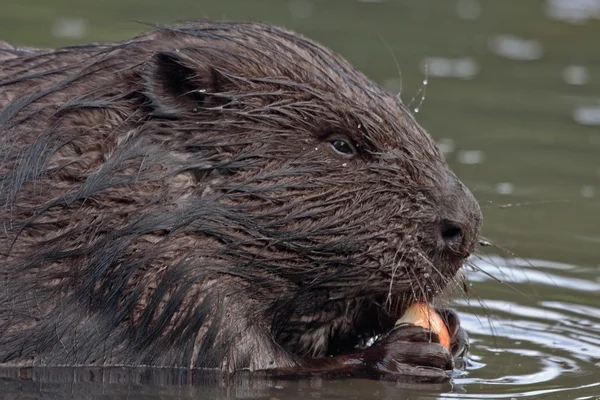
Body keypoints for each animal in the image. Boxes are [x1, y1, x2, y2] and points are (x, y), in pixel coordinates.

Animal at [0, 20, 480, 382]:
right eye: (342, 144)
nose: (464, 227)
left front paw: (453, 329)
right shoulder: (155, 275)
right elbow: (244, 361)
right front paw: (401, 352)